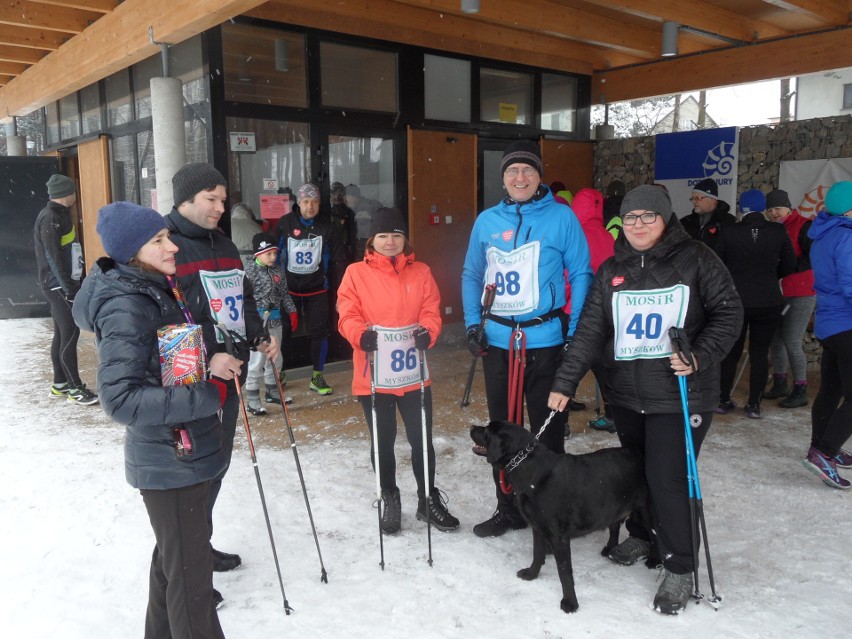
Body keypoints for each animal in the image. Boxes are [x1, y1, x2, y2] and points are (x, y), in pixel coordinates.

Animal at [470, 420, 648, 616]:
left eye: (486, 431)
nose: (472, 427)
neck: (531, 470)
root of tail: (638, 453)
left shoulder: (559, 537)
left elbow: (564, 572)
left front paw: (570, 602)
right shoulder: (537, 527)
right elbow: (537, 553)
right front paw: (531, 574)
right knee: (614, 524)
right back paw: (610, 548)